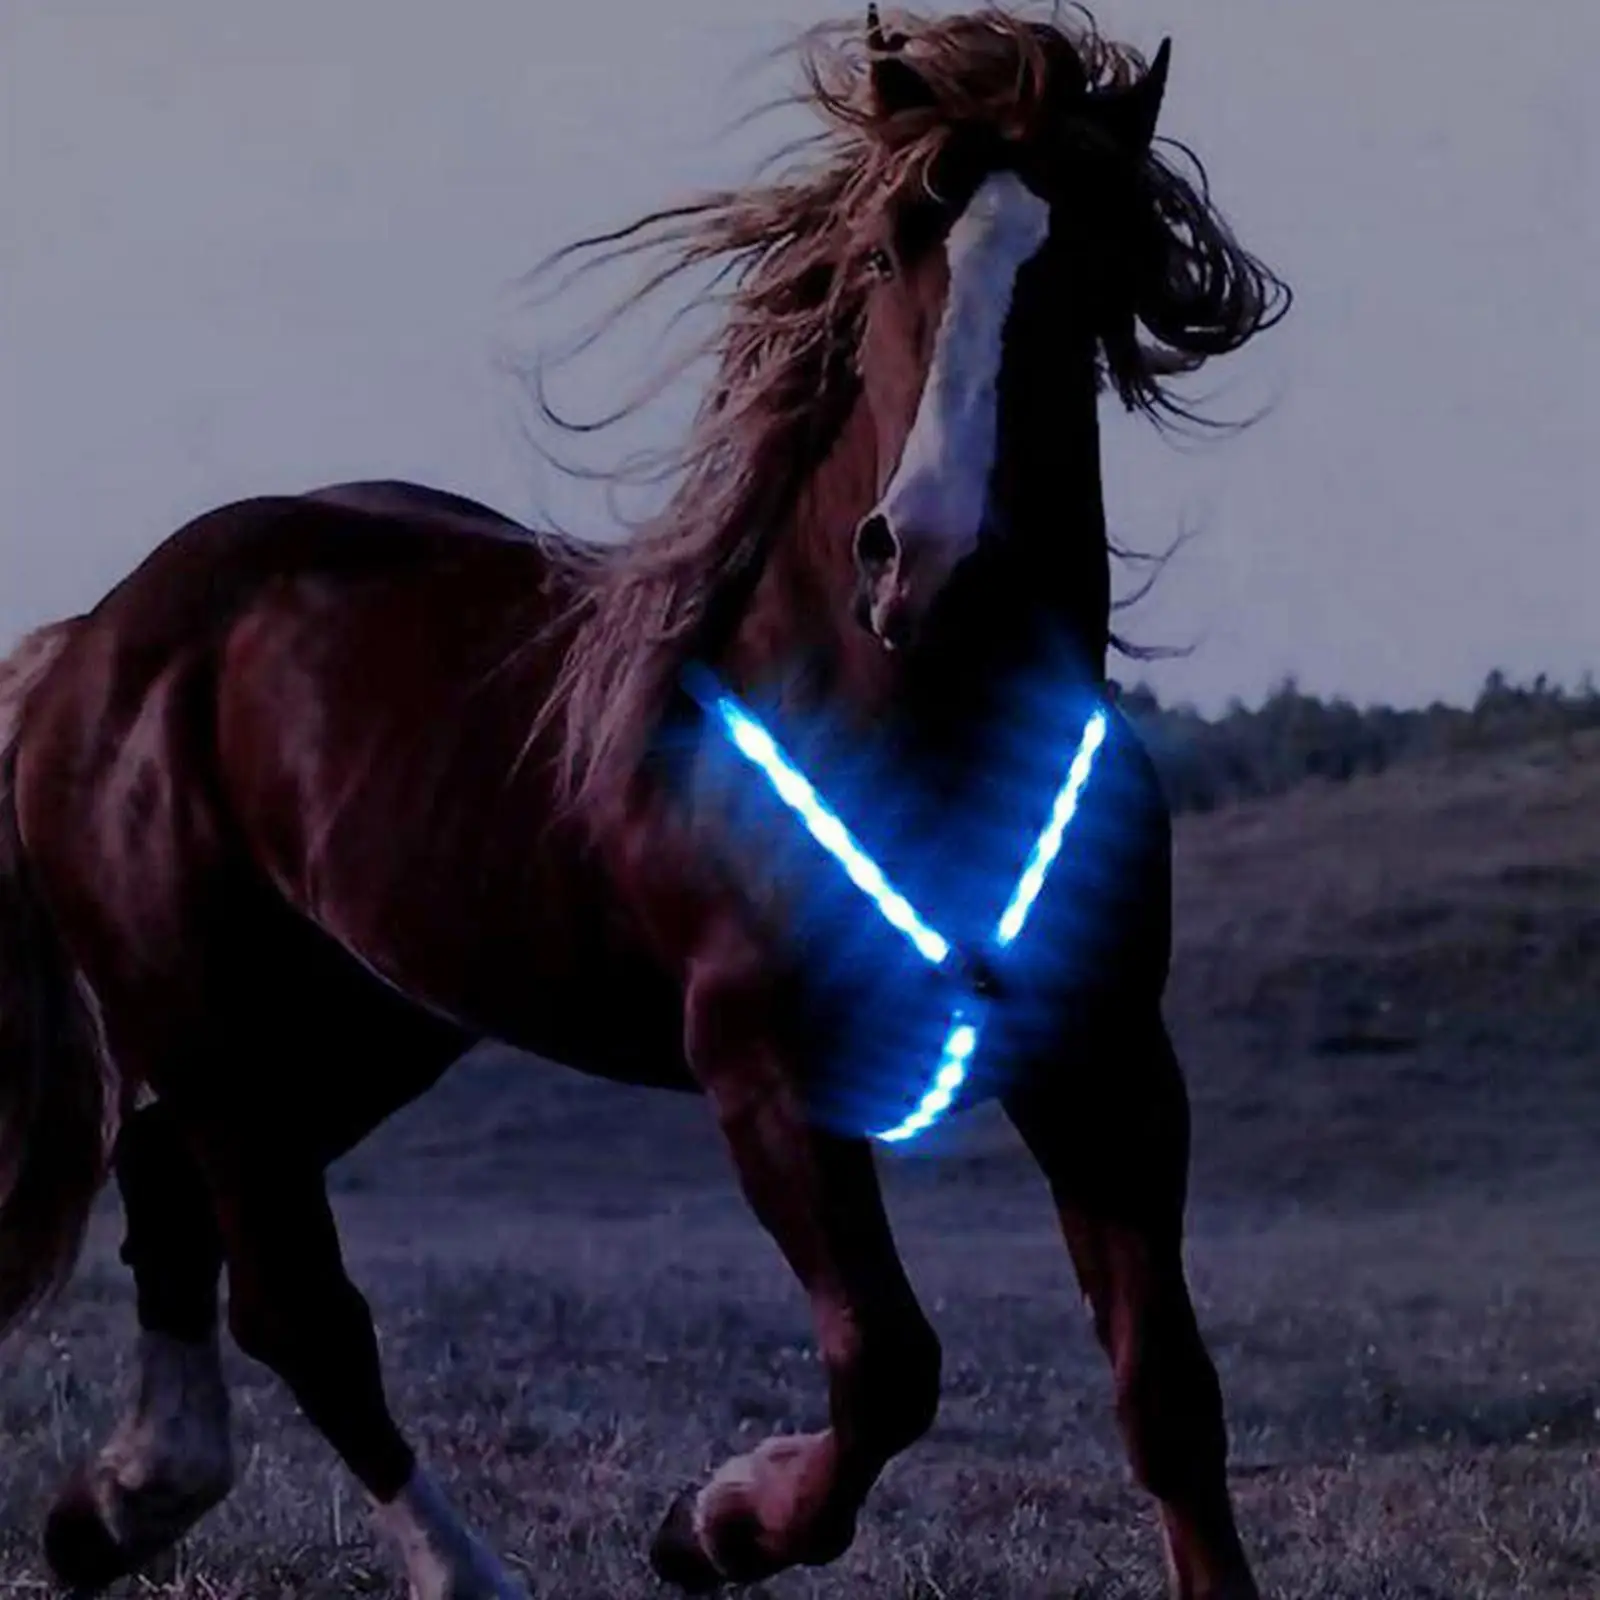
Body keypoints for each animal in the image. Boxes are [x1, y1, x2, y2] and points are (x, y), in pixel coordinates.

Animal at [0, 8, 1289, 1597]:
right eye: (886, 255)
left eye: (1088, 260)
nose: (928, 565)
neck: (911, 719)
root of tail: (98, 638)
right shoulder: (765, 1073)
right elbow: (889, 1365)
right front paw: (710, 1525)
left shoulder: (1106, 1061)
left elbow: (1165, 1392)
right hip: (211, 1022)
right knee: (298, 1303)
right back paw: (450, 1571)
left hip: (362, 1020)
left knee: (178, 1204)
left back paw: (116, 1506)